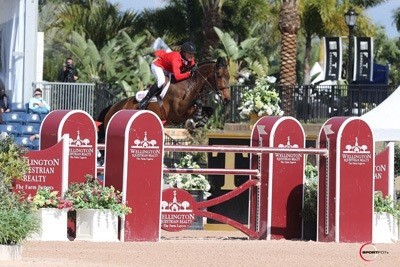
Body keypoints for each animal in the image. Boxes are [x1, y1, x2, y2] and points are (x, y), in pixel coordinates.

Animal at [99, 57, 231, 139]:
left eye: (229, 76)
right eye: (218, 75)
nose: (227, 99)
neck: (189, 86)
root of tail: (113, 107)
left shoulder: (186, 110)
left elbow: (209, 109)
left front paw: (199, 121)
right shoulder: (178, 112)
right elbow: (198, 103)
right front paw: (194, 120)